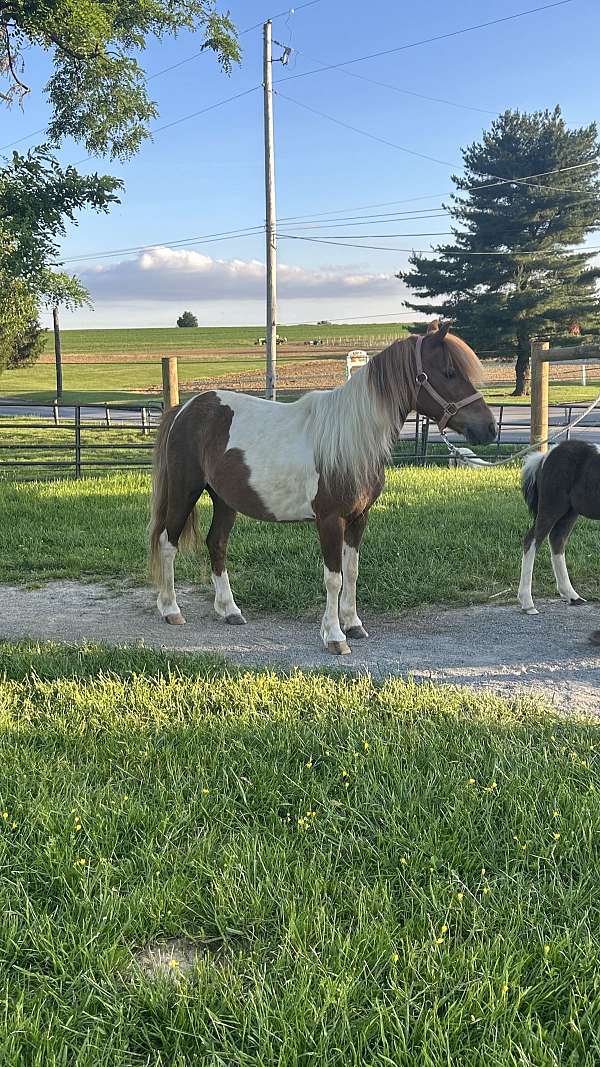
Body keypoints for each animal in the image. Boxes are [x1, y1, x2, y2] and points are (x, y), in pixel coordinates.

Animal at [148, 323, 497, 654]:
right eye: (449, 372)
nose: (489, 428)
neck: (352, 437)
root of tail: (183, 410)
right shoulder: (330, 520)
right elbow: (333, 578)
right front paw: (335, 636)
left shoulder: (359, 519)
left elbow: (352, 571)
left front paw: (354, 624)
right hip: (184, 491)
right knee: (168, 543)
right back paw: (170, 609)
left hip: (224, 499)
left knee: (217, 543)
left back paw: (229, 610)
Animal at [518, 440, 600, 616]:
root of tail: (545, 457)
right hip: (552, 507)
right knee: (531, 541)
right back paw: (528, 603)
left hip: (570, 512)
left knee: (557, 540)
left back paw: (572, 596)